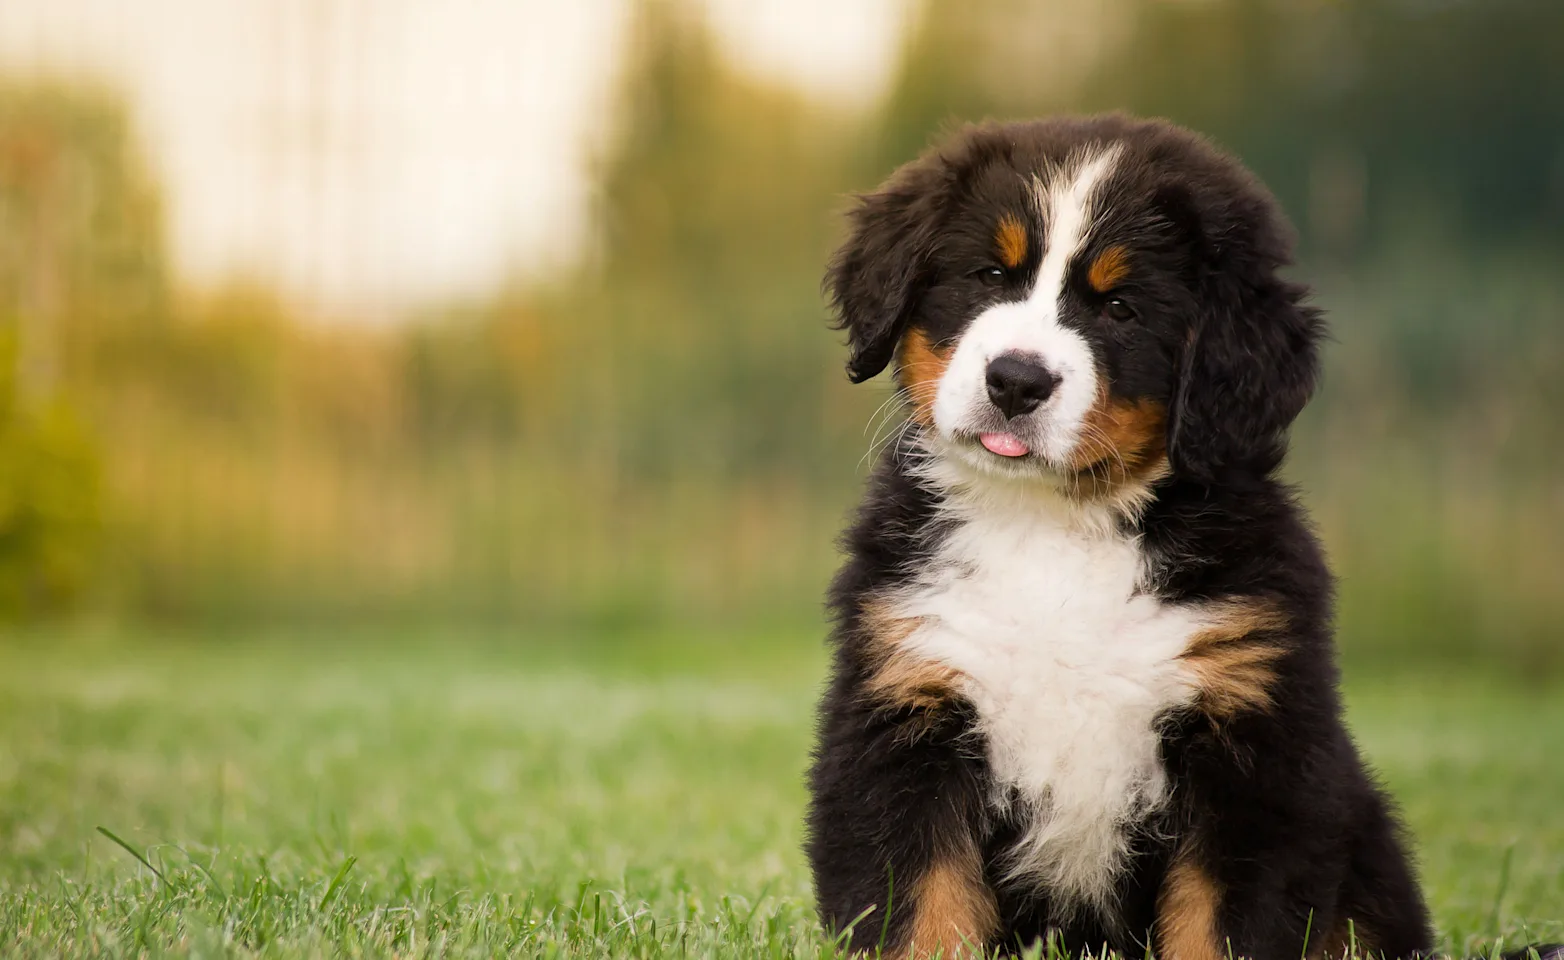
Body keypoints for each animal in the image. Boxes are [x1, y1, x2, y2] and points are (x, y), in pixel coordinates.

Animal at [807, 116, 1551, 960]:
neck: (1053, 525)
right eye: (989, 276)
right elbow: (921, 910)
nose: (1016, 380)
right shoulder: (907, 715)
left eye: (1121, 309)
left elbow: (1219, 922)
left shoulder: (1252, 750)